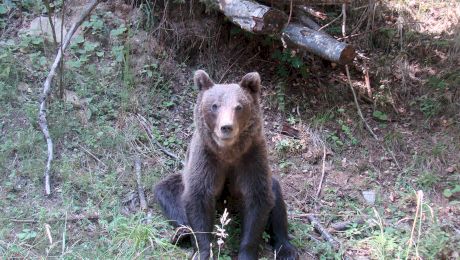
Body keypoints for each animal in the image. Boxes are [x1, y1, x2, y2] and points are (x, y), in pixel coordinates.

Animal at [155, 70, 298, 258]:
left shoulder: (251, 157)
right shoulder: (207, 157)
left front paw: (246, 254)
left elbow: (257, 200)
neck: (228, 152)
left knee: (276, 197)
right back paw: (182, 233)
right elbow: (198, 197)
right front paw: (202, 251)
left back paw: (286, 249)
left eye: (239, 107)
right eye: (215, 106)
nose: (226, 127)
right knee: (167, 192)